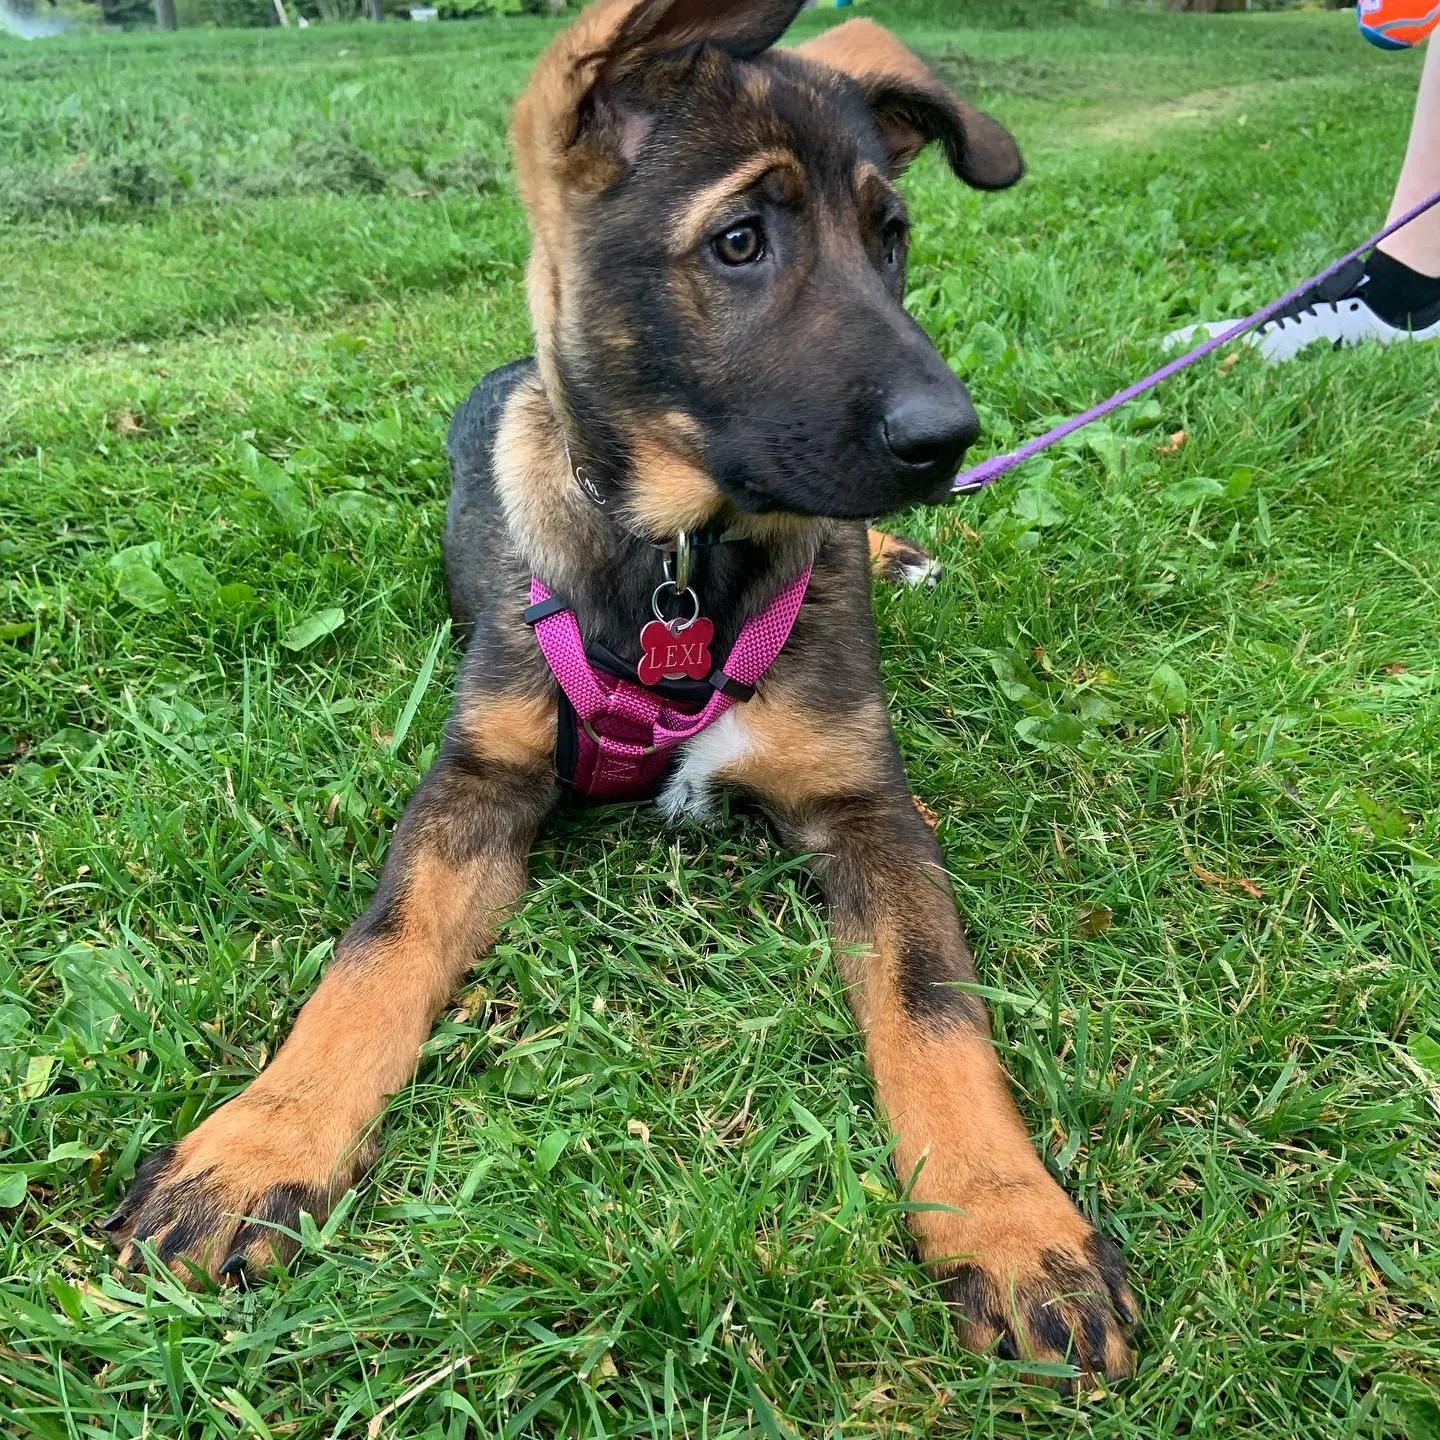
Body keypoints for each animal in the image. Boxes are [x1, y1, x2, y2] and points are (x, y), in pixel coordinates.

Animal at [104, 0, 1134, 1382]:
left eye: (892, 237)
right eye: (740, 241)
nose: (948, 441)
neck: (680, 569)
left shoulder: (869, 809)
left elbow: (934, 1009)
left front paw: (1017, 1225)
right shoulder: (479, 782)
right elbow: (377, 956)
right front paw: (256, 1145)